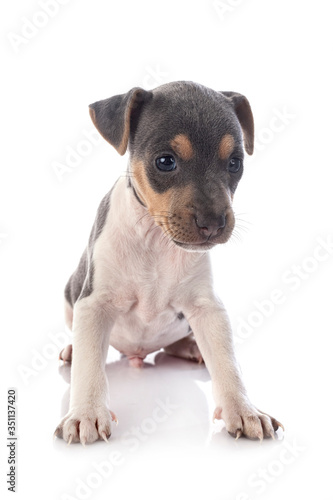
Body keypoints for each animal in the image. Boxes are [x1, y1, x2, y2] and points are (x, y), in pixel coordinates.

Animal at [54, 82, 282, 446]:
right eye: (165, 162)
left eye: (234, 163)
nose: (213, 224)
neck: (156, 241)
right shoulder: (93, 304)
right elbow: (90, 367)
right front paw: (86, 414)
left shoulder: (207, 309)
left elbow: (228, 363)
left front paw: (244, 410)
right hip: (69, 295)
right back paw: (73, 349)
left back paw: (191, 347)